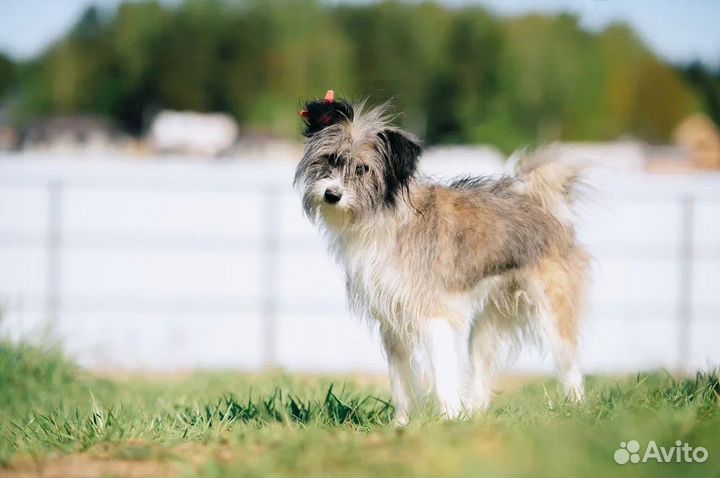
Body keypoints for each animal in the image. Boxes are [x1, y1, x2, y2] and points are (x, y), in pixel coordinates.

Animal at [294, 90, 592, 426]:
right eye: (331, 159)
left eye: (362, 169)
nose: (332, 195)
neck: (384, 219)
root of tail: (538, 200)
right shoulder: (392, 324)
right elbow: (401, 381)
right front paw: (402, 424)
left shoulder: (434, 317)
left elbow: (442, 374)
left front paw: (449, 419)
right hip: (487, 327)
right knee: (481, 374)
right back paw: (475, 413)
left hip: (552, 310)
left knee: (569, 363)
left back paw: (577, 408)